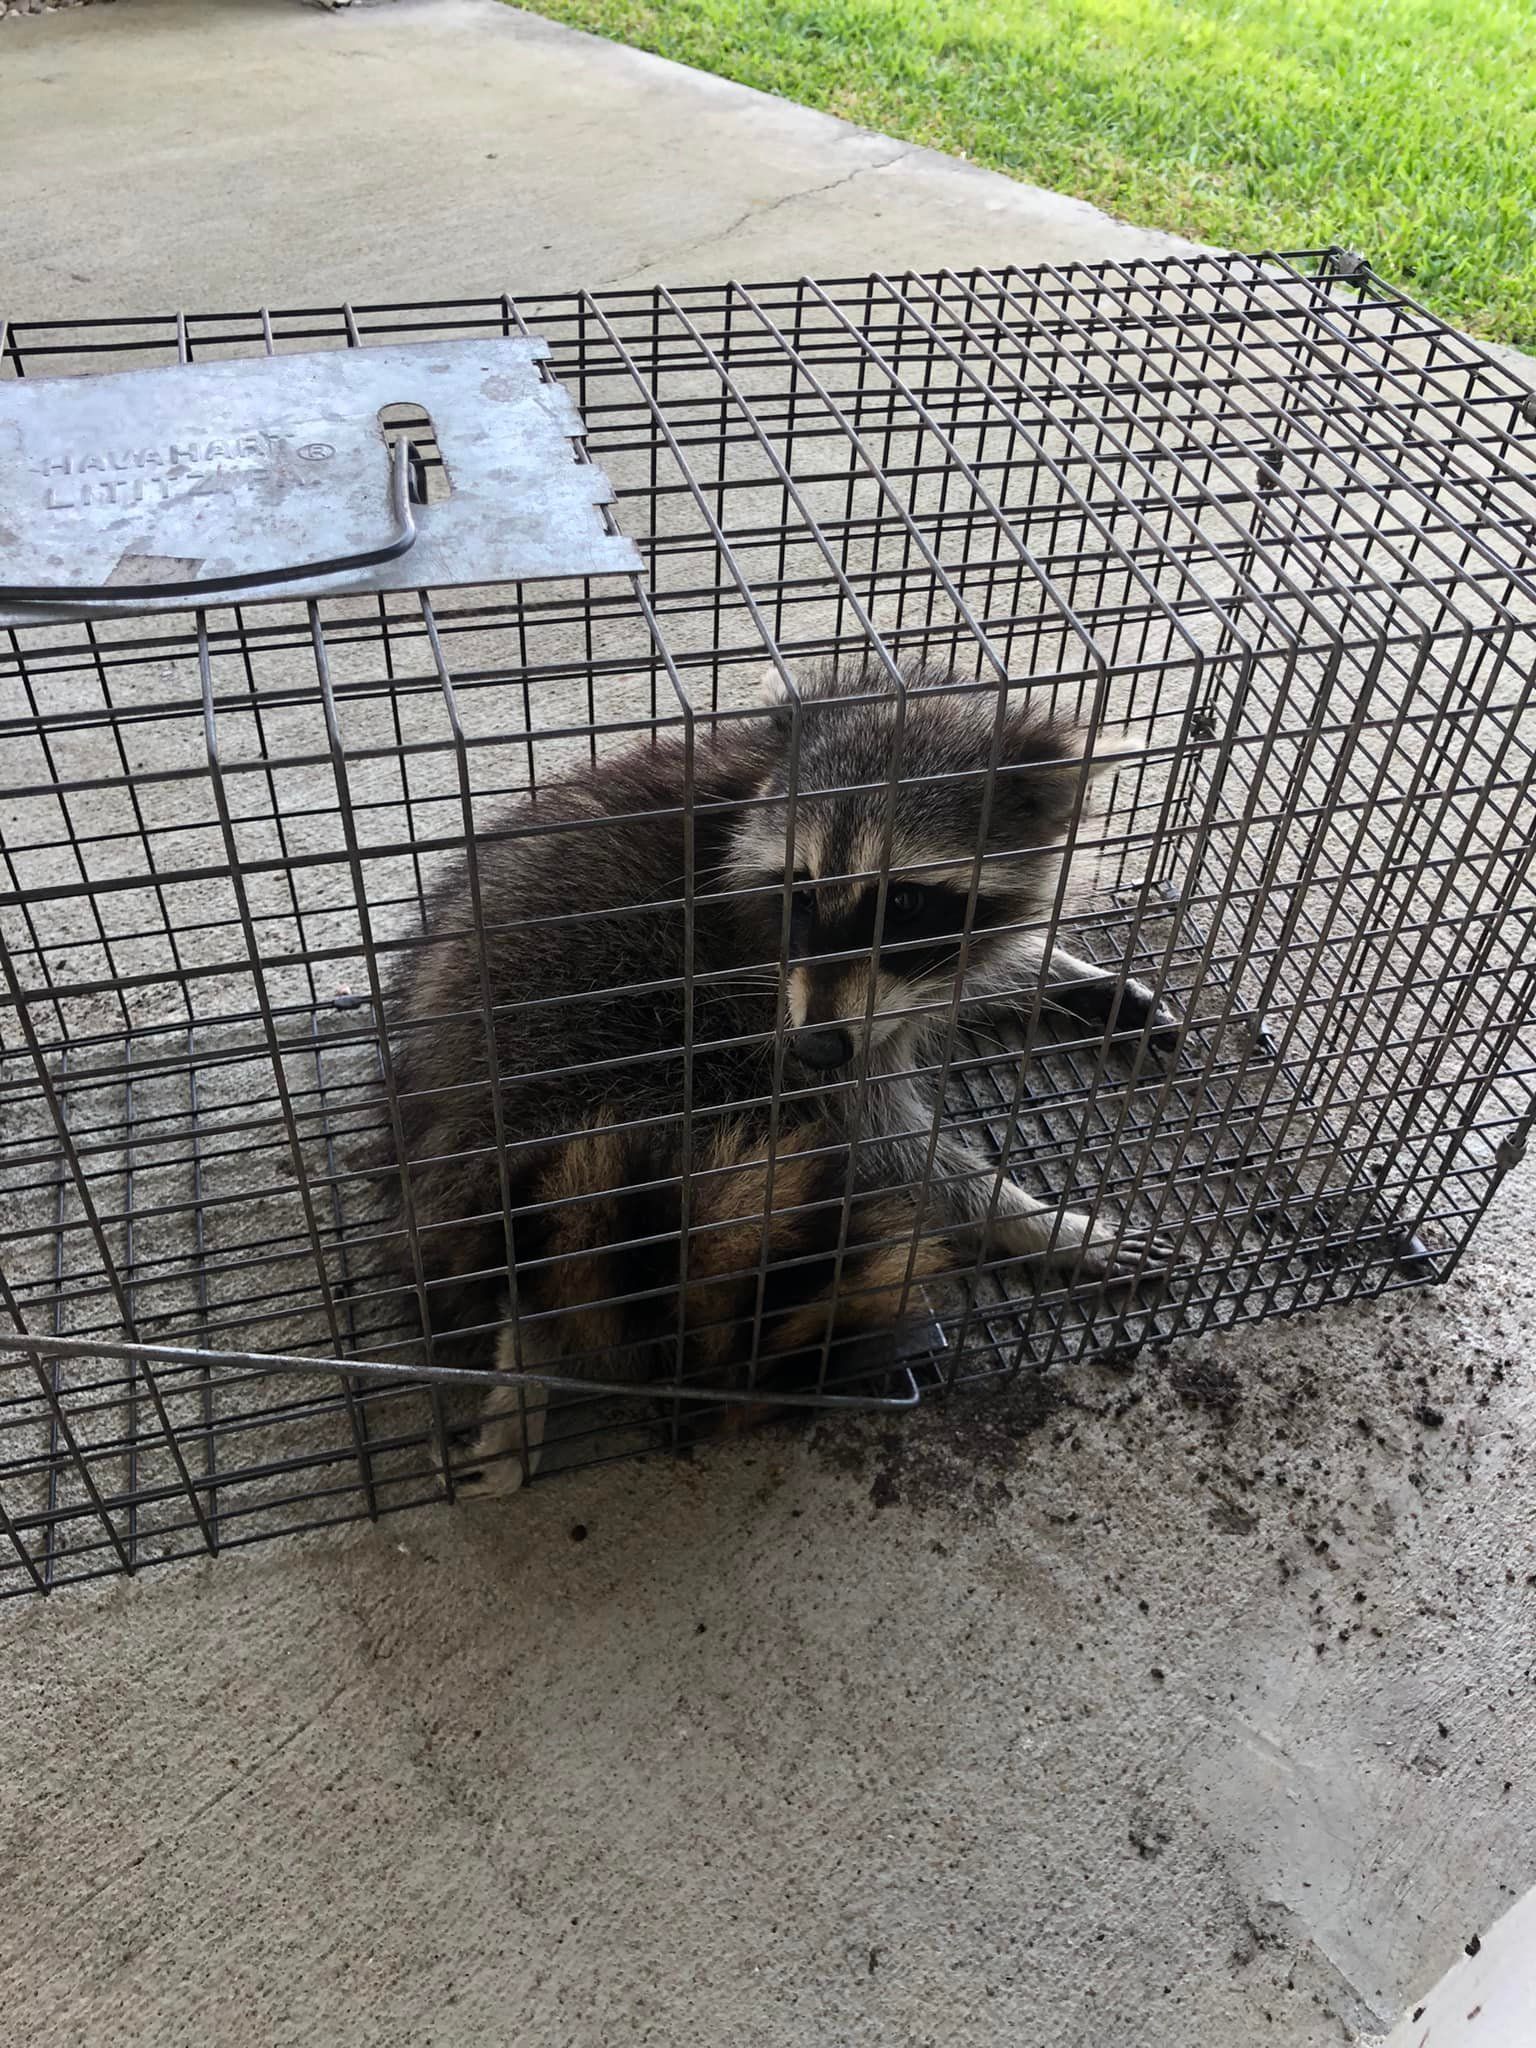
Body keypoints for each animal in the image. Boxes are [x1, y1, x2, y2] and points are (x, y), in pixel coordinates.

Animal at [381, 657, 1177, 1490]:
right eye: (800, 888)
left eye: (904, 900)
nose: (819, 1049)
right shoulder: (767, 995)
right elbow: (885, 1145)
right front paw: (1036, 1221)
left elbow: (965, 985)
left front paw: (1068, 974)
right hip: (597, 1041)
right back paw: (526, 1364)